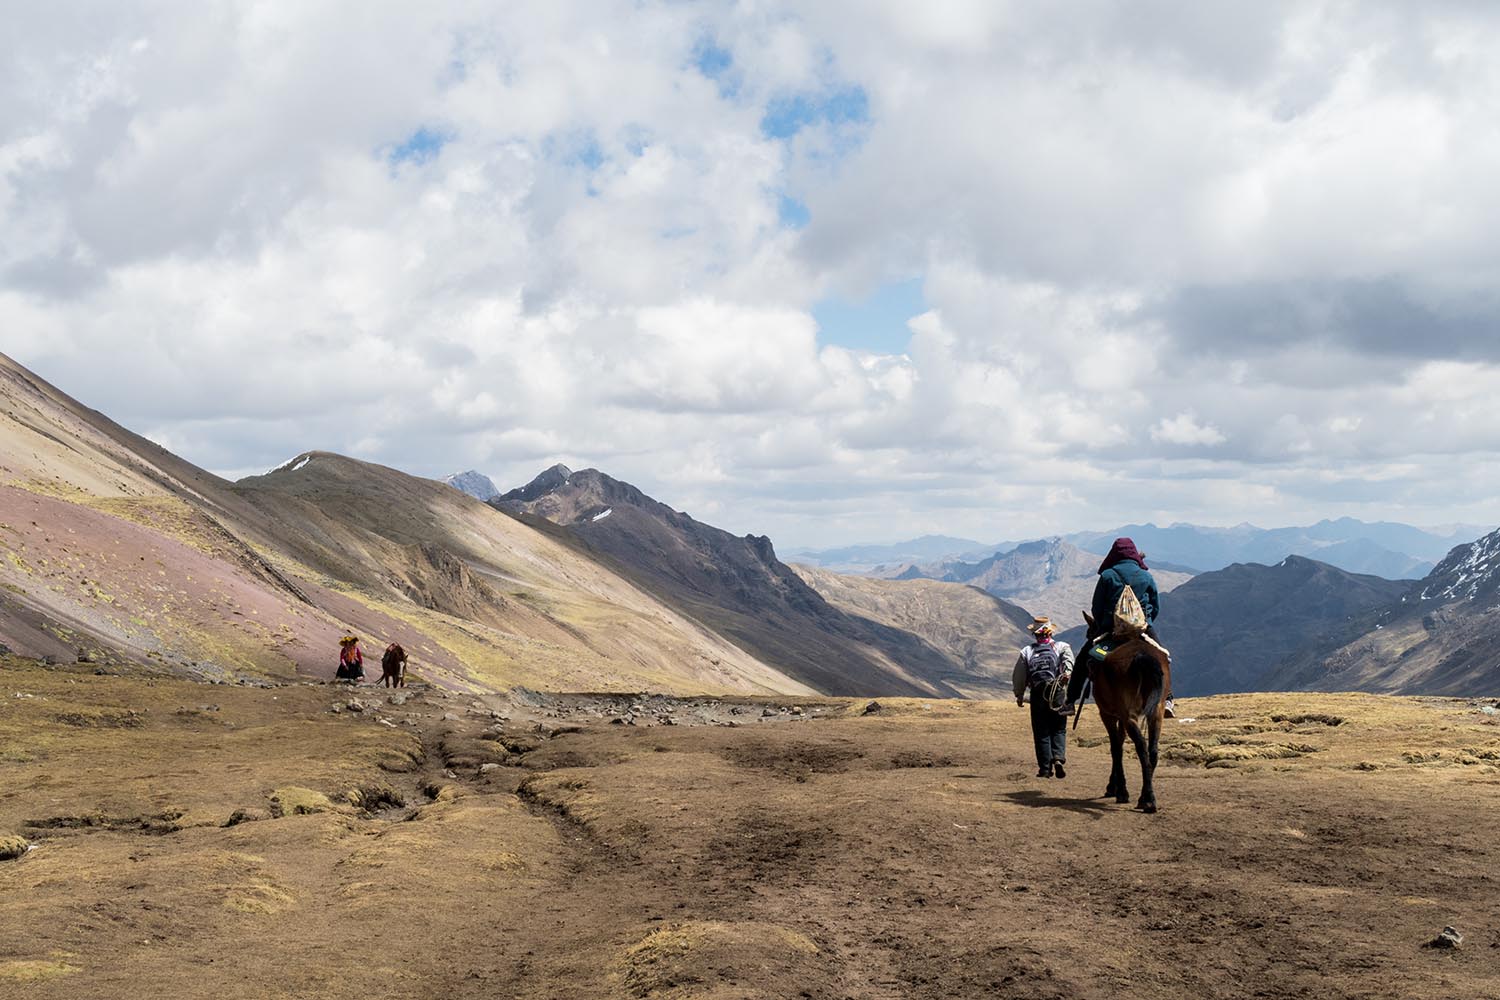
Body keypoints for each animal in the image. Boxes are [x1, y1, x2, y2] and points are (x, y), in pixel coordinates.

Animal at [1080, 611, 1170, 815]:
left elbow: (1116, 747)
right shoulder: (1120, 715)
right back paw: (1145, 797)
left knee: (1141, 748)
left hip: (1130, 715)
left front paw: (1118, 790)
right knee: (1152, 750)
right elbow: (1120, 742)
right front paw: (1116, 787)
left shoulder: (1107, 714)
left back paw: (1148, 800)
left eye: (1089, 633)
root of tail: (1142, 655)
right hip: (1156, 711)